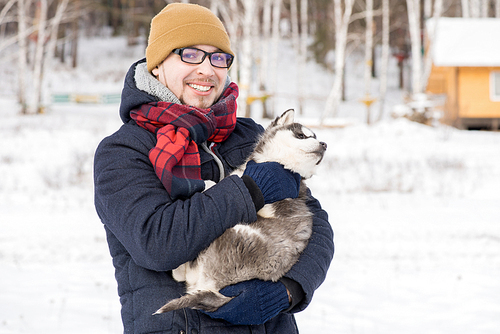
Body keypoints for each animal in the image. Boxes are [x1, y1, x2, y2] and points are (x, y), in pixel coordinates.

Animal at [154, 109, 326, 314]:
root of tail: (214, 290)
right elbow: (230, 179)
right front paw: (210, 183)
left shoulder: (276, 205)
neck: (280, 165)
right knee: (181, 274)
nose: (324, 145)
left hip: (238, 232)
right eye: (301, 136)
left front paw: (206, 185)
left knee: (183, 271)